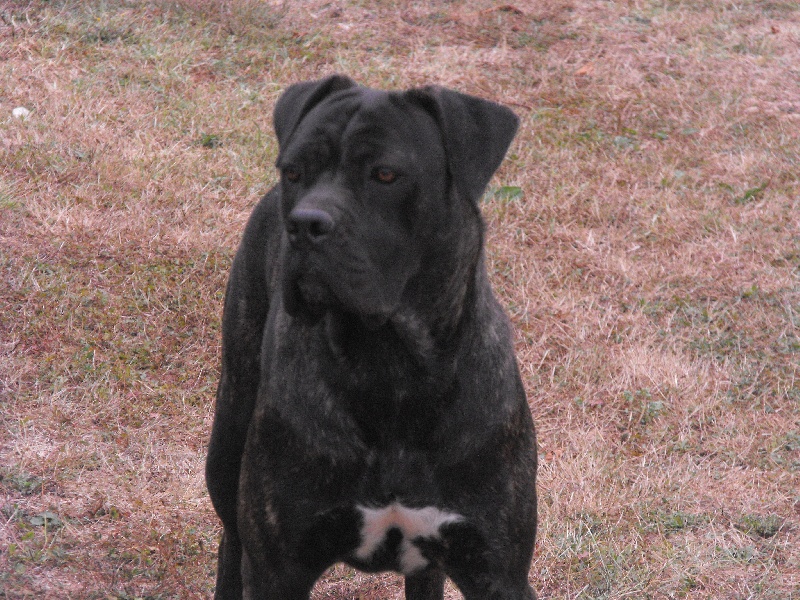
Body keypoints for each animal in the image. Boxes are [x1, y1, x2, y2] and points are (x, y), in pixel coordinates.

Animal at [206, 76, 536, 600]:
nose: (305, 223)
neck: (391, 364)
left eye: (385, 175)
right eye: (293, 171)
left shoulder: (497, 572)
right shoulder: (278, 567)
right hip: (228, 435)